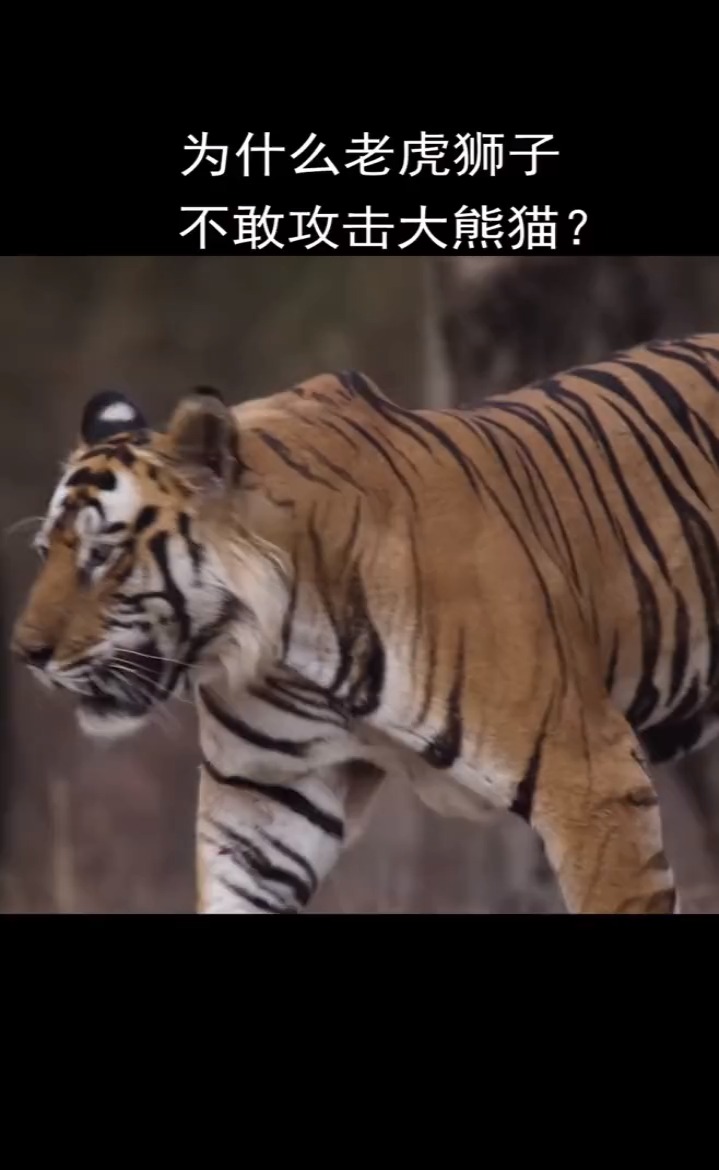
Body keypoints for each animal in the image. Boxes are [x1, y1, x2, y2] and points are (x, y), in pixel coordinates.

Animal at [14, 331, 719, 915]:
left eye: (103, 554)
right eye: (47, 552)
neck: (286, 649)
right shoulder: (264, 802)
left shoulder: (590, 777)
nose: (26, 653)